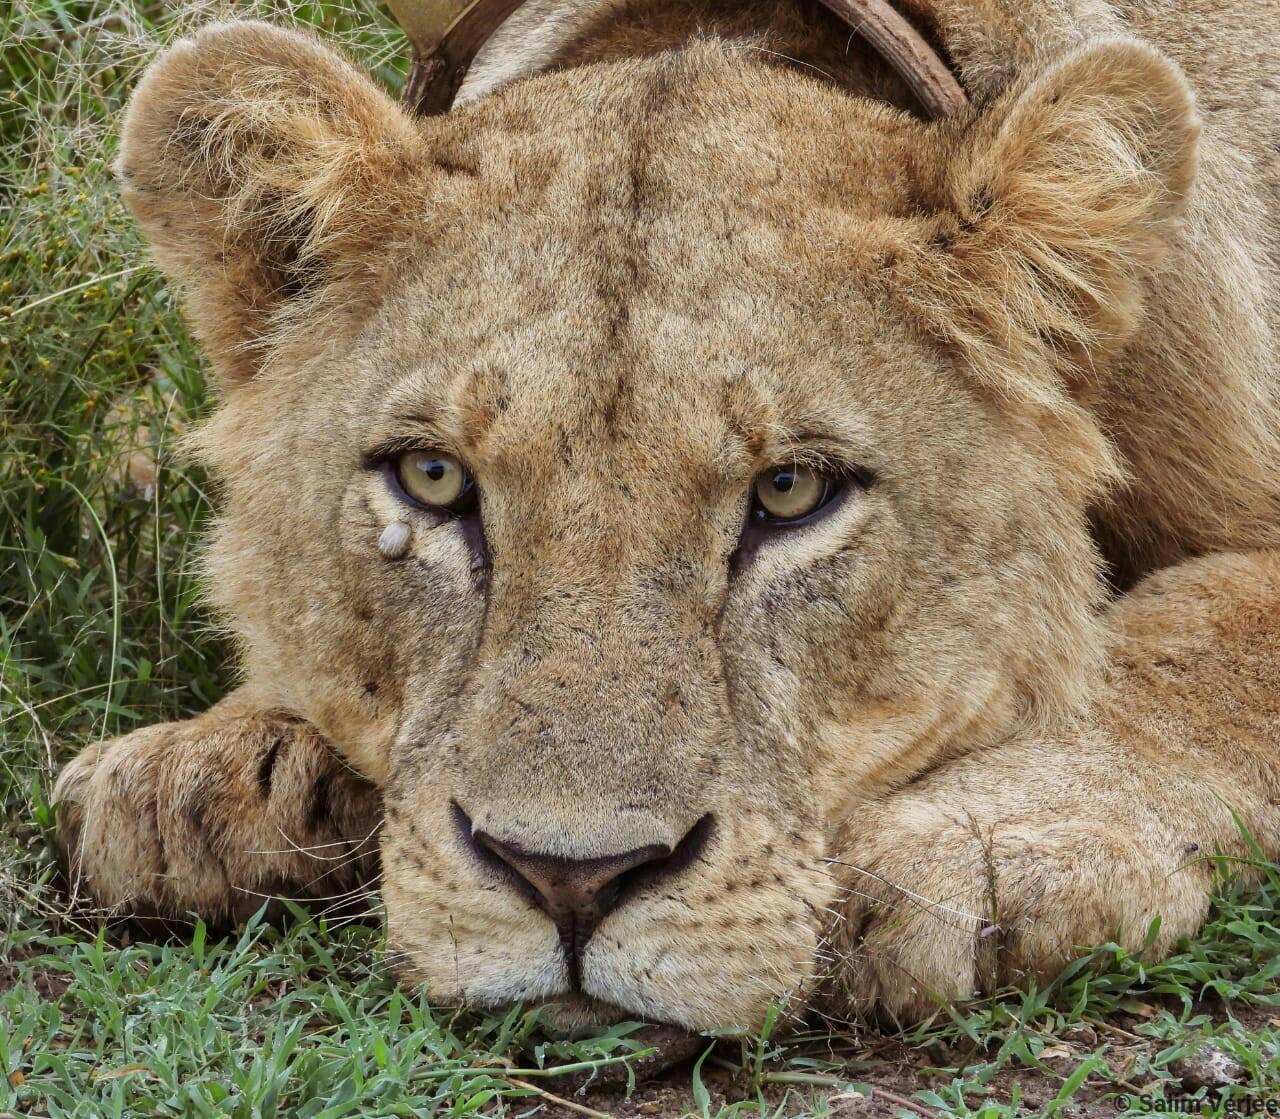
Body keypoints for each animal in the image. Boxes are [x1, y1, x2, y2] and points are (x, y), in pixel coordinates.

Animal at [52, 0, 1280, 1029]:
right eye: (432, 479)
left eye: (791, 492)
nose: (569, 880)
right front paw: (197, 768)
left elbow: (1188, 642)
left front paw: (983, 843)